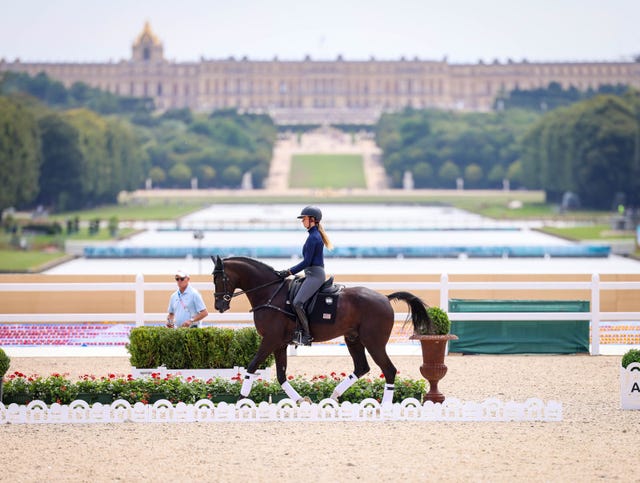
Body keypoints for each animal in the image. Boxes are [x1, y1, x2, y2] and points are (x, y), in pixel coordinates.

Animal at [212, 258, 432, 404]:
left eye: (221, 278)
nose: (219, 306)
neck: (270, 293)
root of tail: (385, 298)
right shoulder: (279, 343)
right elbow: (281, 376)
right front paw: (301, 400)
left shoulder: (270, 340)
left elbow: (251, 366)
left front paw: (241, 400)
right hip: (353, 339)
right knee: (362, 367)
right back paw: (334, 396)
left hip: (374, 342)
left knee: (389, 370)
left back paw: (385, 406)